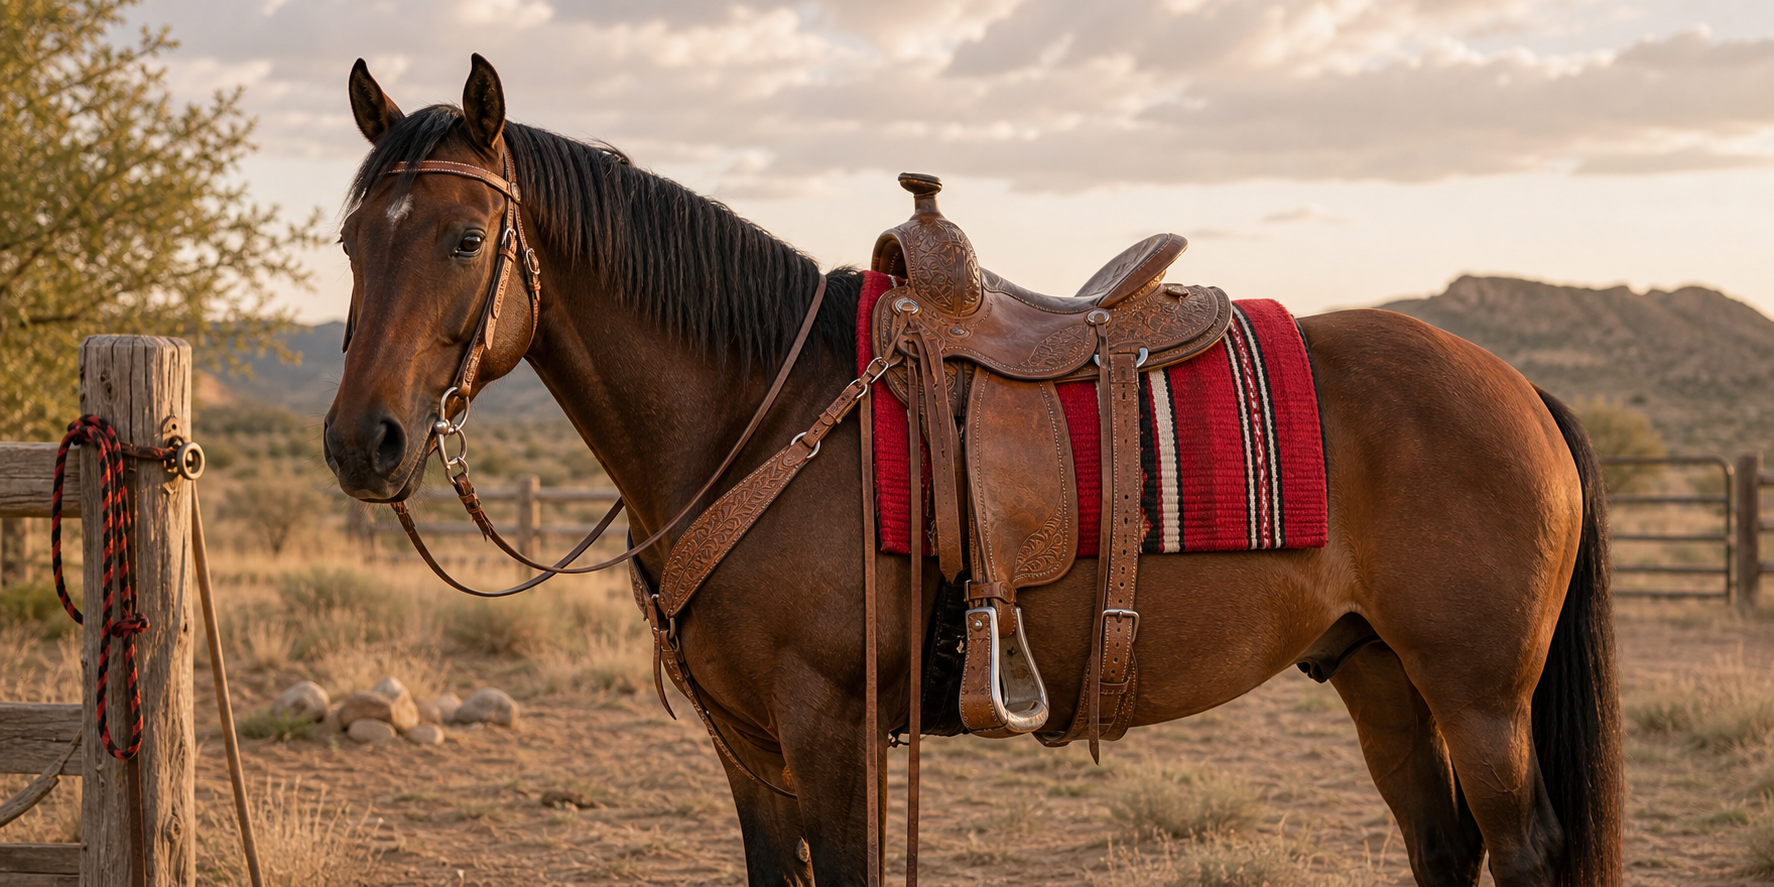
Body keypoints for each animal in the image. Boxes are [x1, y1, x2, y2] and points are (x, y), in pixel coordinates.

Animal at [323, 55, 1621, 887]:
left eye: (465, 237)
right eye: (347, 241)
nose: (361, 441)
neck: (761, 414)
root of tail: (1518, 388)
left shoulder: (831, 729)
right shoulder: (746, 750)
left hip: (1480, 694)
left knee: (1521, 849)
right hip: (1378, 673)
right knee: (1443, 846)